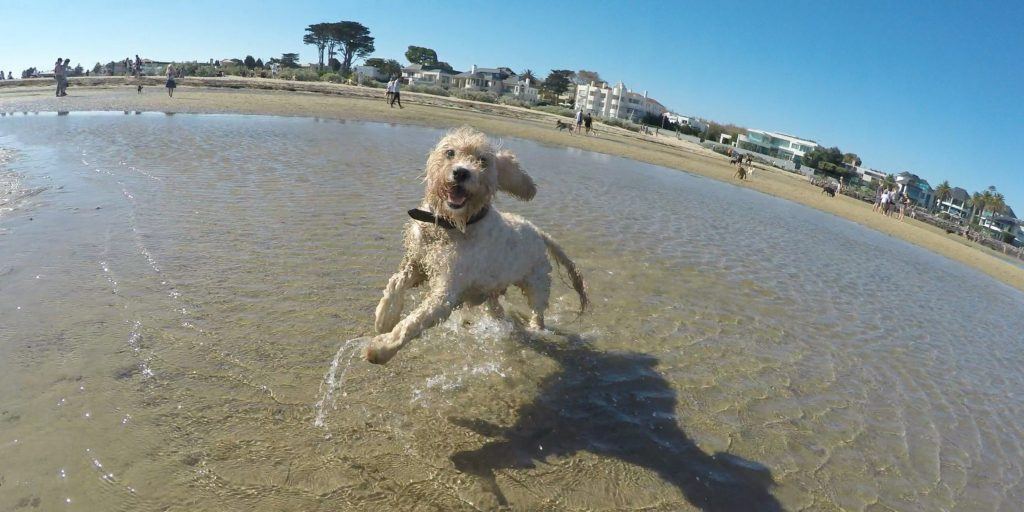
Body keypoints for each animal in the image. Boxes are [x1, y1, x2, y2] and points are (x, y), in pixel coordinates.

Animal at [368, 125, 593, 364]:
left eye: (483, 161)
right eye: (450, 152)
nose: (461, 172)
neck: (450, 227)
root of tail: (540, 232)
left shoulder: (447, 291)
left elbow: (413, 323)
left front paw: (382, 348)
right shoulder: (416, 263)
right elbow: (395, 283)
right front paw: (385, 318)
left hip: (537, 284)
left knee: (538, 313)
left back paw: (534, 329)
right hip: (491, 292)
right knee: (499, 312)